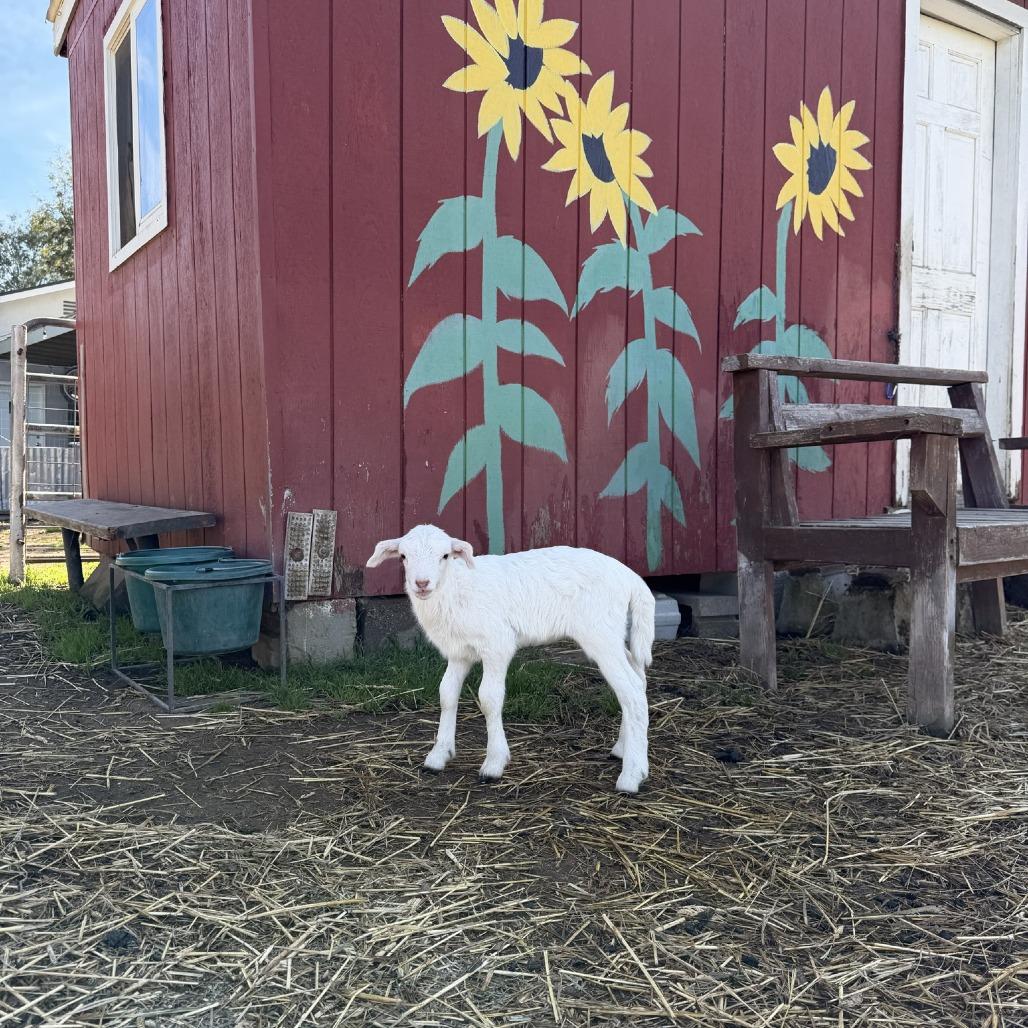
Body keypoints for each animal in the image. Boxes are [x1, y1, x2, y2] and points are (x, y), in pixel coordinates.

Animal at [366, 524, 655, 793]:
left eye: (445, 555)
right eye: (403, 556)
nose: (422, 583)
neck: (457, 588)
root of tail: (631, 578)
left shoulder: (497, 644)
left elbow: (489, 699)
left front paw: (494, 763)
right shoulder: (460, 652)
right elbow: (446, 694)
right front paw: (439, 755)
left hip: (600, 633)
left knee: (631, 691)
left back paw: (632, 774)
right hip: (612, 634)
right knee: (638, 678)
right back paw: (622, 748)